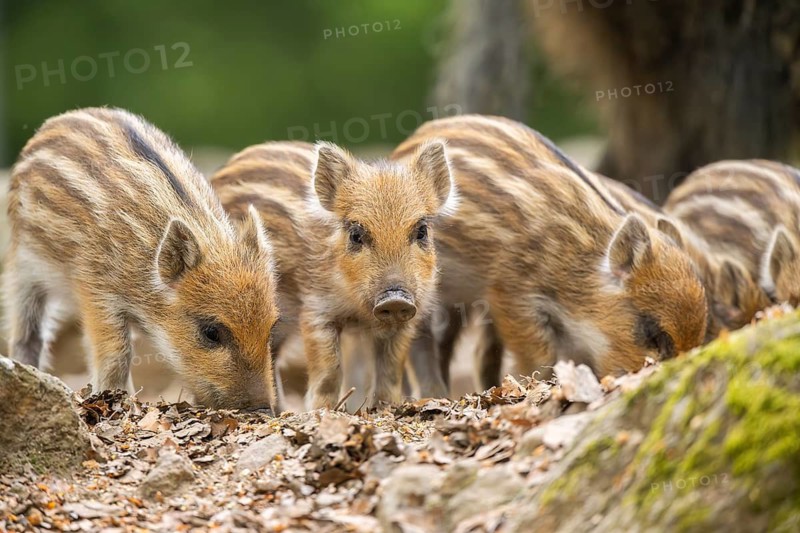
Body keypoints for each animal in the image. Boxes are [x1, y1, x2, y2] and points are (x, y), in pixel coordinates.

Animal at [3, 107, 281, 411]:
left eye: (271, 328)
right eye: (211, 332)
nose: (263, 408)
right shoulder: (96, 287)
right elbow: (116, 352)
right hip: (23, 267)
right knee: (28, 333)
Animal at [210, 140, 455, 409]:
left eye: (421, 231)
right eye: (356, 234)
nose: (395, 298)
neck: (358, 309)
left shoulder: (407, 318)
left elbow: (389, 373)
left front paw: (385, 407)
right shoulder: (317, 310)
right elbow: (330, 372)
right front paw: (322, 411)